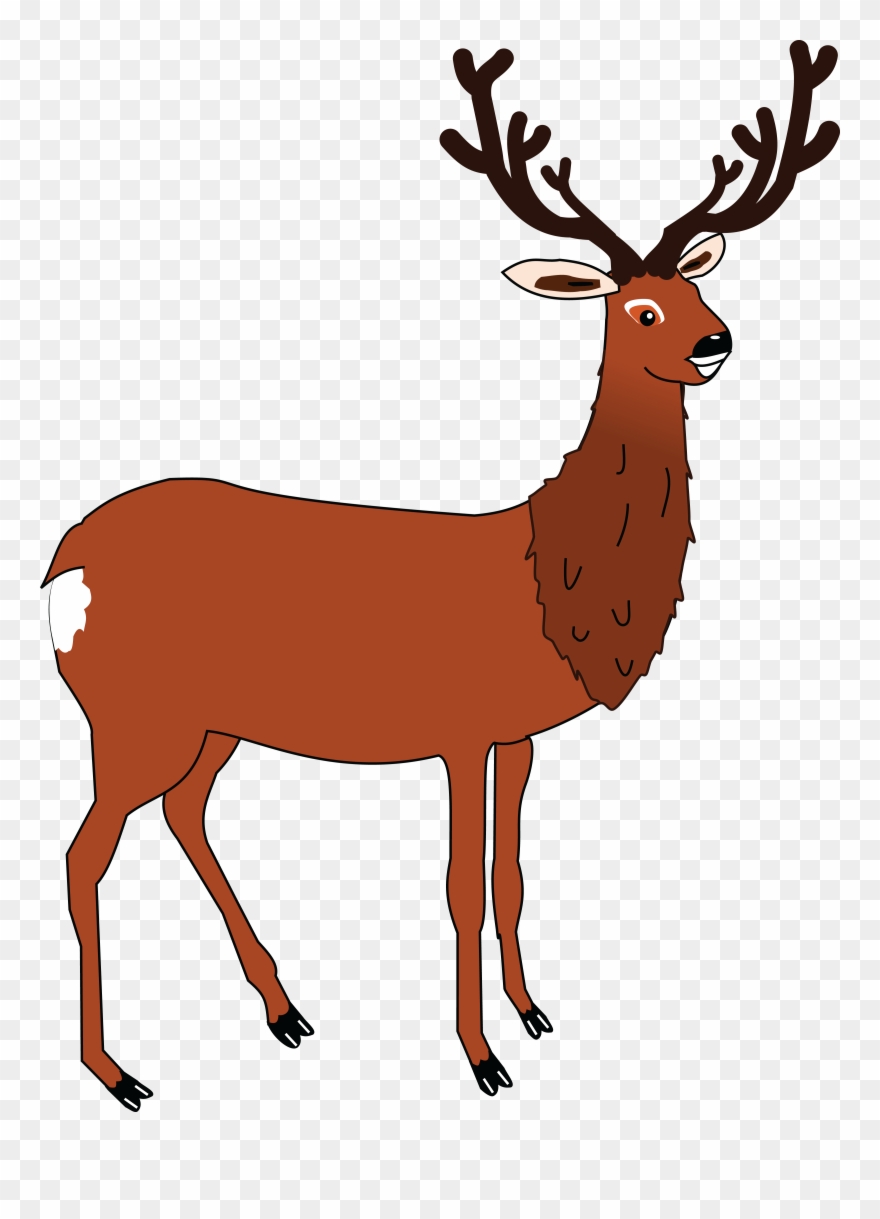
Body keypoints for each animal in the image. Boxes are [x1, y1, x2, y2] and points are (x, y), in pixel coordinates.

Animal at [43, 42, 839, 1107]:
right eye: (639, 308)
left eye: (699, 290)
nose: (717, 341)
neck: (549, 580)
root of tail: (60, 567)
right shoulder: (459, 730)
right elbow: (462, 886)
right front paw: (482, 1057)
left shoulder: (518, 734)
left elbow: (511, 874)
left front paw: (534, 1012)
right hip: (133, 714)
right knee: (84, 854)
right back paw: (116, 1070)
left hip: (209, 722)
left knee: (183, 812)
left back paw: (286, 1010)